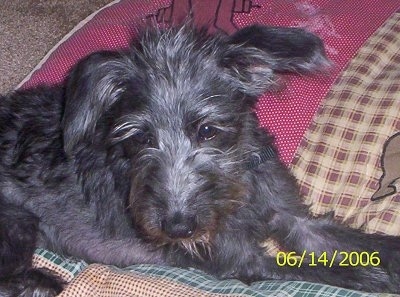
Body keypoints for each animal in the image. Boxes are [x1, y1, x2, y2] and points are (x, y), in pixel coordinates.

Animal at [0, 24, 400, 294]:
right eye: (140, 137)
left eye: (207, 130)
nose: (177, 229)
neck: (236, 192)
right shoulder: (242, 260)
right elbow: (325, 271)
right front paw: (372, 277)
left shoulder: (295, 219)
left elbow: (363, 244)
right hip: (19, 221)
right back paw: (45, 283)